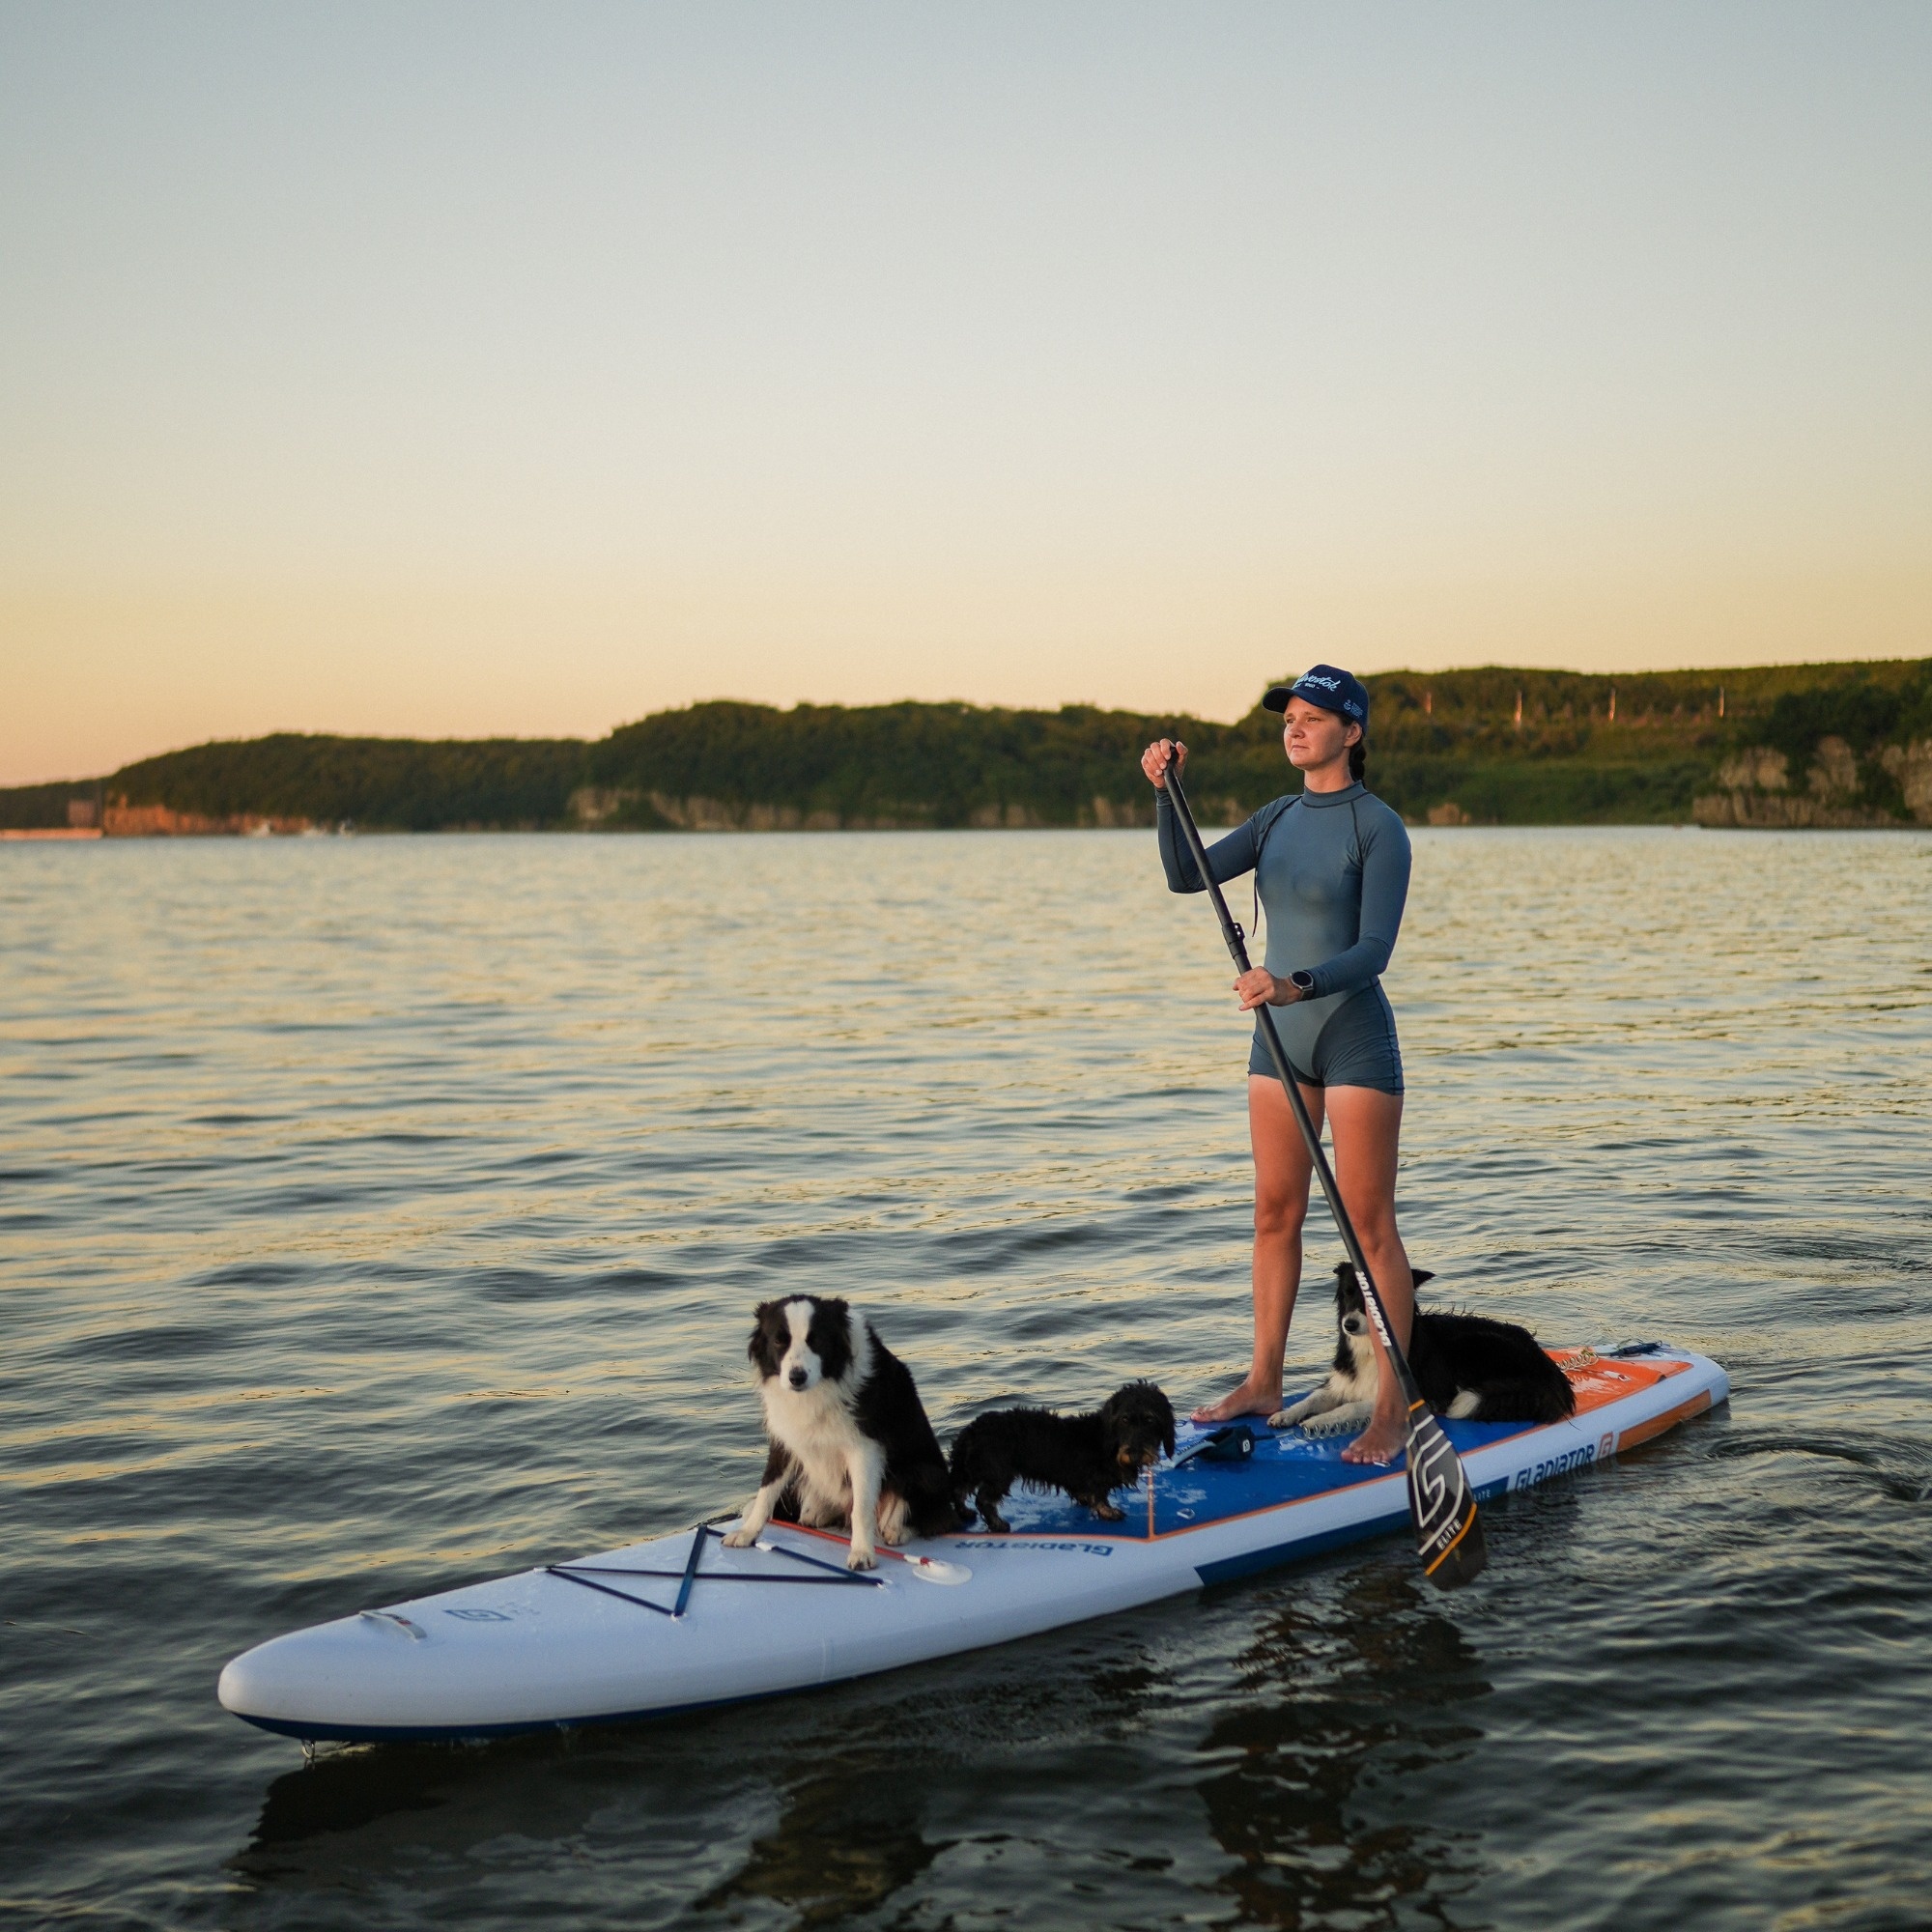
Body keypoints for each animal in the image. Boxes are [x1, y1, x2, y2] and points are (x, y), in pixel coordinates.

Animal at [722, 1295, 959, 1570]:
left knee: (938, 1519)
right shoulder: (785, 1438)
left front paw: (862, 1552)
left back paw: (898, 1531)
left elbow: (862, 1507)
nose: (796, 1377)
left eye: (816, 1340)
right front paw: (747, 1533)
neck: (824, 1382)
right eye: (779, 1340)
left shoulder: (865, 1447)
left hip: (925, 1473)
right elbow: (767, 1490)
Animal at [948, 1381, 1176, 1533]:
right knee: (983, 1499)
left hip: (973, 1469)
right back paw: (998, 1524)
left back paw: (965, 1513)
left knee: (959, 1490)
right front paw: (1108, 1512)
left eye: (1150, 1420)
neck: (1108, 1440)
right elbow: (1099, 1495)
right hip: (998, 1474)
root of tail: (971, 1432)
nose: (1135, 1454)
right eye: (1125, 1419)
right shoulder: (1095, 1478)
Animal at [1271, 1264, 1575, 1433]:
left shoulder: (1412, 1395)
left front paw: (1317, 1421)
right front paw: (1286, 1414)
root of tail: (1548, 1370)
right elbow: (1312, 1398)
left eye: (1371, 1298)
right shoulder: (1343, 1382)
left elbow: (1352, 1407)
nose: (1349, 1325)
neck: (1371, 1348)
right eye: (1347, 1293)